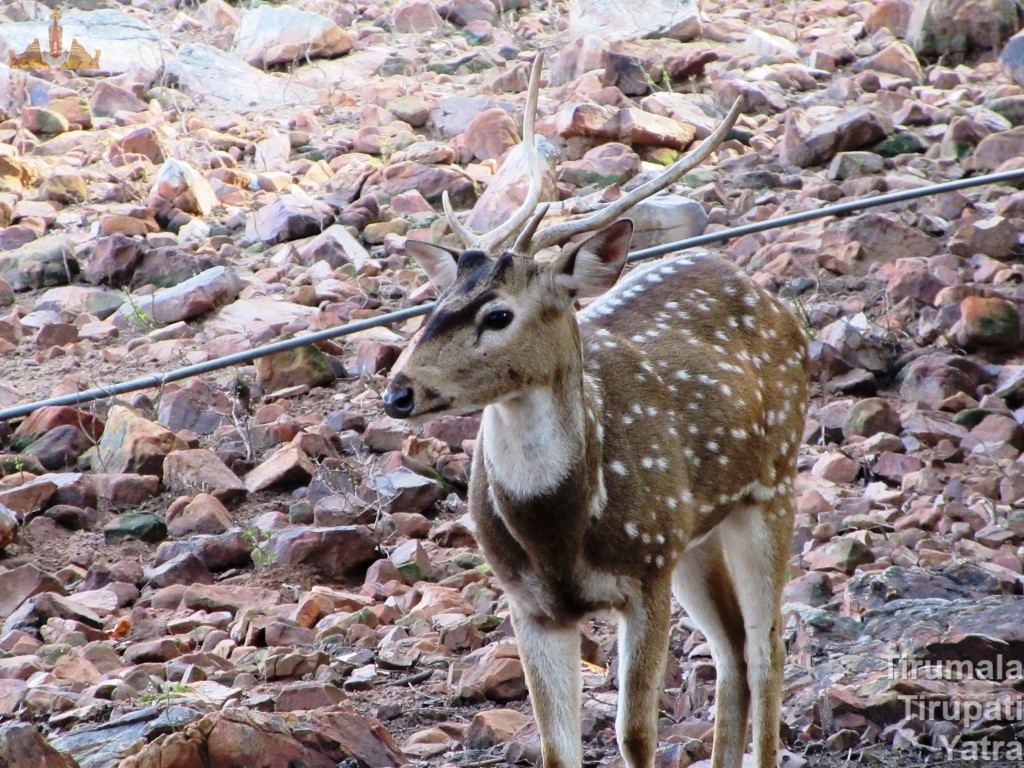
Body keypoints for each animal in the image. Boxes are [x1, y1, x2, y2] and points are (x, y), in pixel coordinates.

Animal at [382, 57, 806, 765]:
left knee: (768, 645)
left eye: (499, 315)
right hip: (694, 533)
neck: (558, 532)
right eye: (433, 307)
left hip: (771, 485)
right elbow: (558, 748)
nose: (398, 391)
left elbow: (635, 734)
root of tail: (771, 298)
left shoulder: (645, 572)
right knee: (733, 651)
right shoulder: (530, 603)